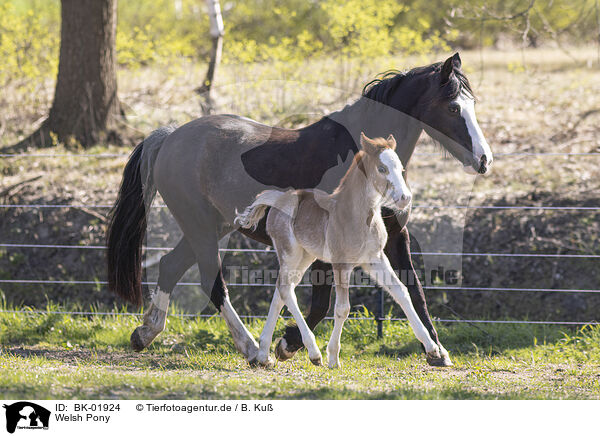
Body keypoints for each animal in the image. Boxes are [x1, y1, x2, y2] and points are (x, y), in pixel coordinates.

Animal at [237, 133, 442, 368]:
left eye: (401, 169)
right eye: (382, 168)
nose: (404, 198)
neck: (357, 215)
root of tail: (278, 199)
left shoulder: (374, 259)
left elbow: (401, 291)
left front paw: (432, 348)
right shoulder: (340, 264)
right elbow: (342, 308)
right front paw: (333, 357)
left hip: (305, 256)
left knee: (281, 291)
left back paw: (263, 354)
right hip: (290, 253)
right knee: (286, 290)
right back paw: (313, 353)